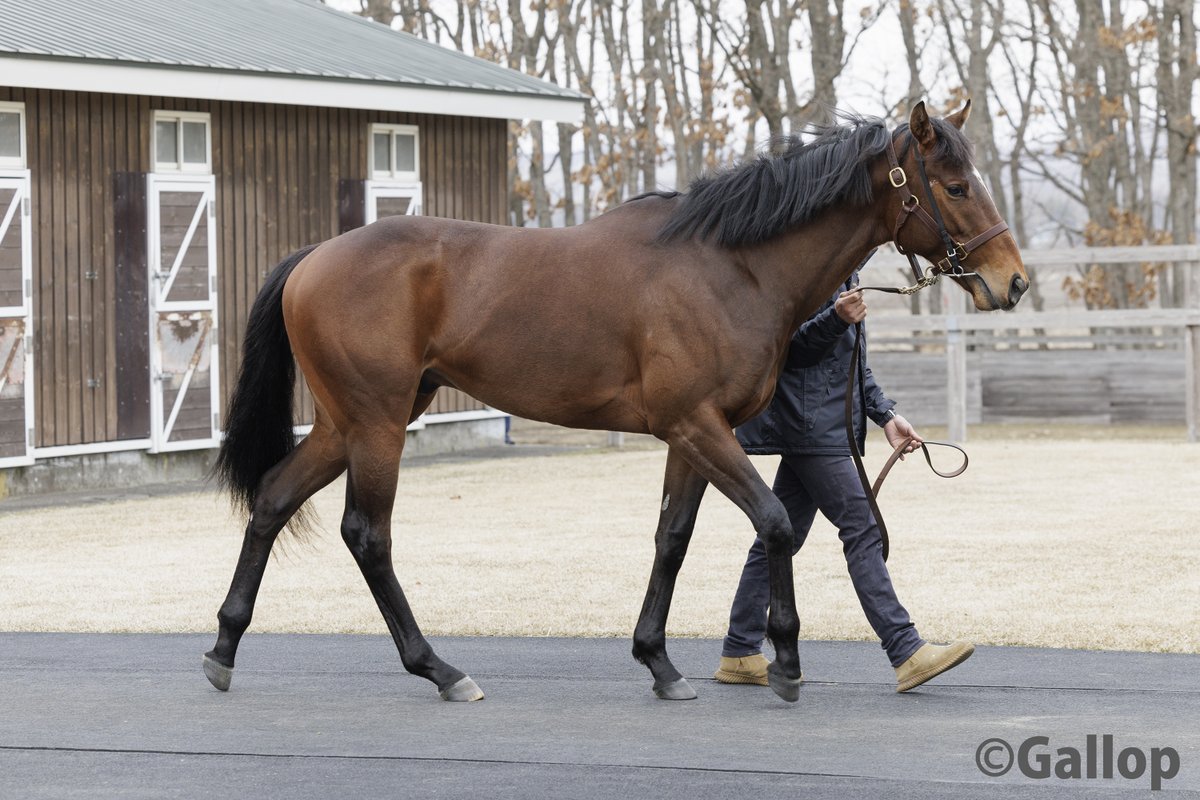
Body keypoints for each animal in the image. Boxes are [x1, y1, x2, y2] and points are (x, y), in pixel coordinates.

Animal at [201, 98, 1027, 700]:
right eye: (955, 186)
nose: (1012, 282)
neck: (729, 266)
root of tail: (315, 255)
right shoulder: (698, 426)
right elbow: (775, 523)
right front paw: (787, 662)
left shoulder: (695, 436)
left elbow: (673, 538)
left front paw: (658, 663)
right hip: (376, 424)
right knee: (367, 535)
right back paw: (440, 670)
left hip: (350, 422)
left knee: (272, 501)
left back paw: (223, 648)